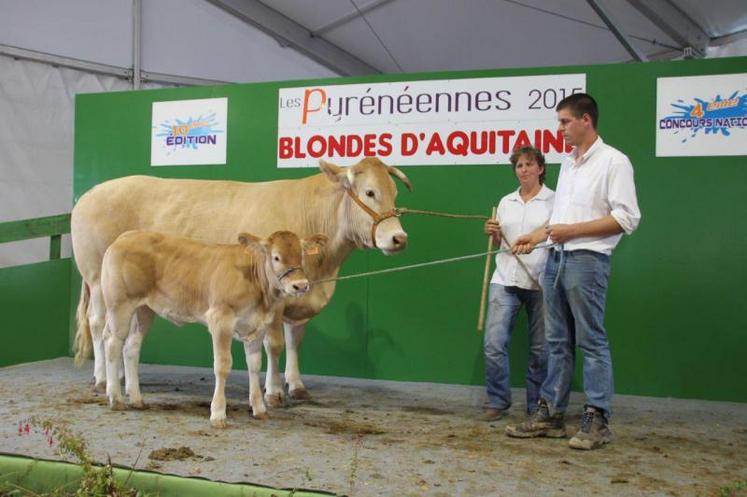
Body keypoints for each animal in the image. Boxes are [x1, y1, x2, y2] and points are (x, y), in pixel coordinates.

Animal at [73, 157, 412, 404]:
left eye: (394, 194)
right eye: (370, 193)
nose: (399, 238)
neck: (325, 268)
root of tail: (89, 193)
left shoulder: (303, 293)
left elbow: (295, 340)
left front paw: (296, 385)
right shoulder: (275, 298)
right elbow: (275, 344)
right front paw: (273, 392)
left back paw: (121, 380)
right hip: (98, 278)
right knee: (98, 324)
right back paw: (103, 379)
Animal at [99, 229, 324, 426]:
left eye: (302, 256)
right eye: (276, 257)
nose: (301, 285)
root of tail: (125, 236)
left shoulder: (258, 326)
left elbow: (255, 366)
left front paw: (259, 409)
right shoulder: (220, 320)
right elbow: (222, 365)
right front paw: (217, 414)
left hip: (144, 309)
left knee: (131, 347)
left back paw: (137, 399)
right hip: (120, 304)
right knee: (112, 342)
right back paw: (115, 397)